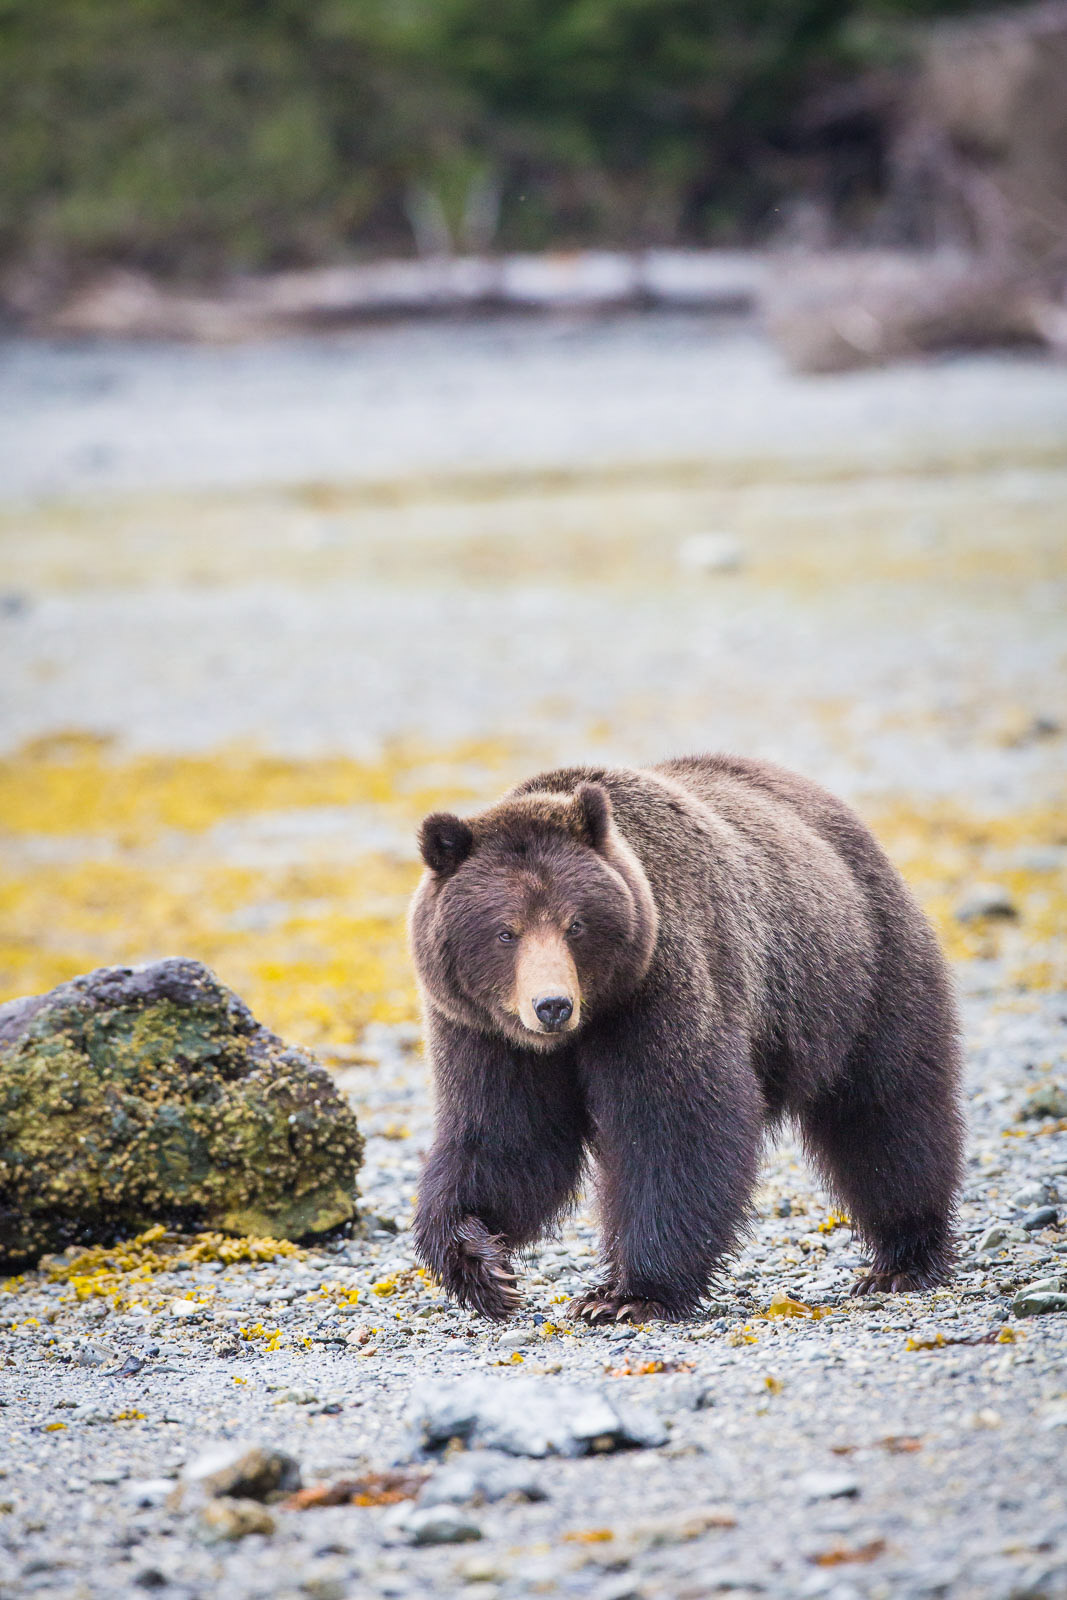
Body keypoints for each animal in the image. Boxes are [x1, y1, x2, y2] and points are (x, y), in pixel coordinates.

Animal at [406, 755, 959, 1318]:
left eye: (575, 924)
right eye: (506, 931)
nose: (553, 1005)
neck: (587, 1023)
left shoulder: (659, 991)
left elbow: (675, 1128)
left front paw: (628, 1295)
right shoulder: (487, 1035)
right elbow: (509, 1138)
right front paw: (481, 1264)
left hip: (860, 975)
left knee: (886, 1116)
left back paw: (902, 1260)